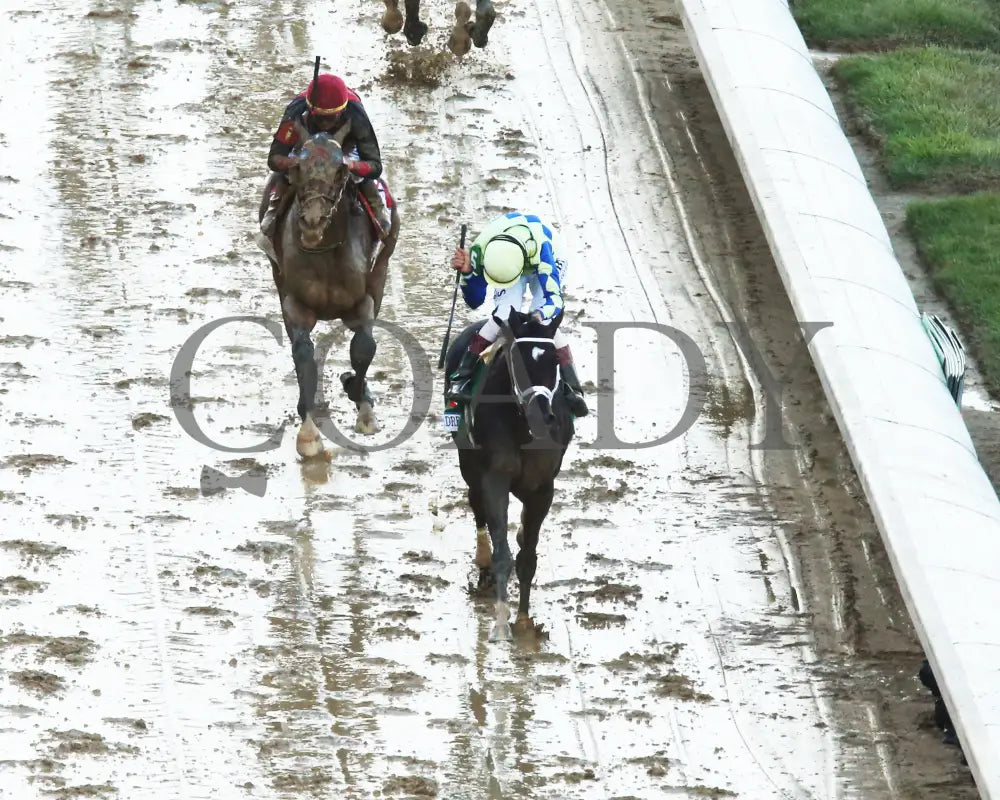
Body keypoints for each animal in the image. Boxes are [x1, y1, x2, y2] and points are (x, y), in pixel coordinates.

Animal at [258, 116, 402, 460]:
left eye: (340, 171)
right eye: (298, 168)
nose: (312, 222)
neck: (324, 251)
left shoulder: (365, 297)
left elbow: (364, 348)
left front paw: (363, 406)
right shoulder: (295, 302)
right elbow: (303, 355)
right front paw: (309, 432)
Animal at [444, 310, 576, 640]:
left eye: (554, 361)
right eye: (518, 360)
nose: (540, 414)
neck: (522, 428)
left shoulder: (543, 488)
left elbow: (527, 556)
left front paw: (525, 620)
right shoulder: (494, 478)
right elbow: (502, 552)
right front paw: (503, 620)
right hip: (469, 465)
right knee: (477, 507)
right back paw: (483, 565)